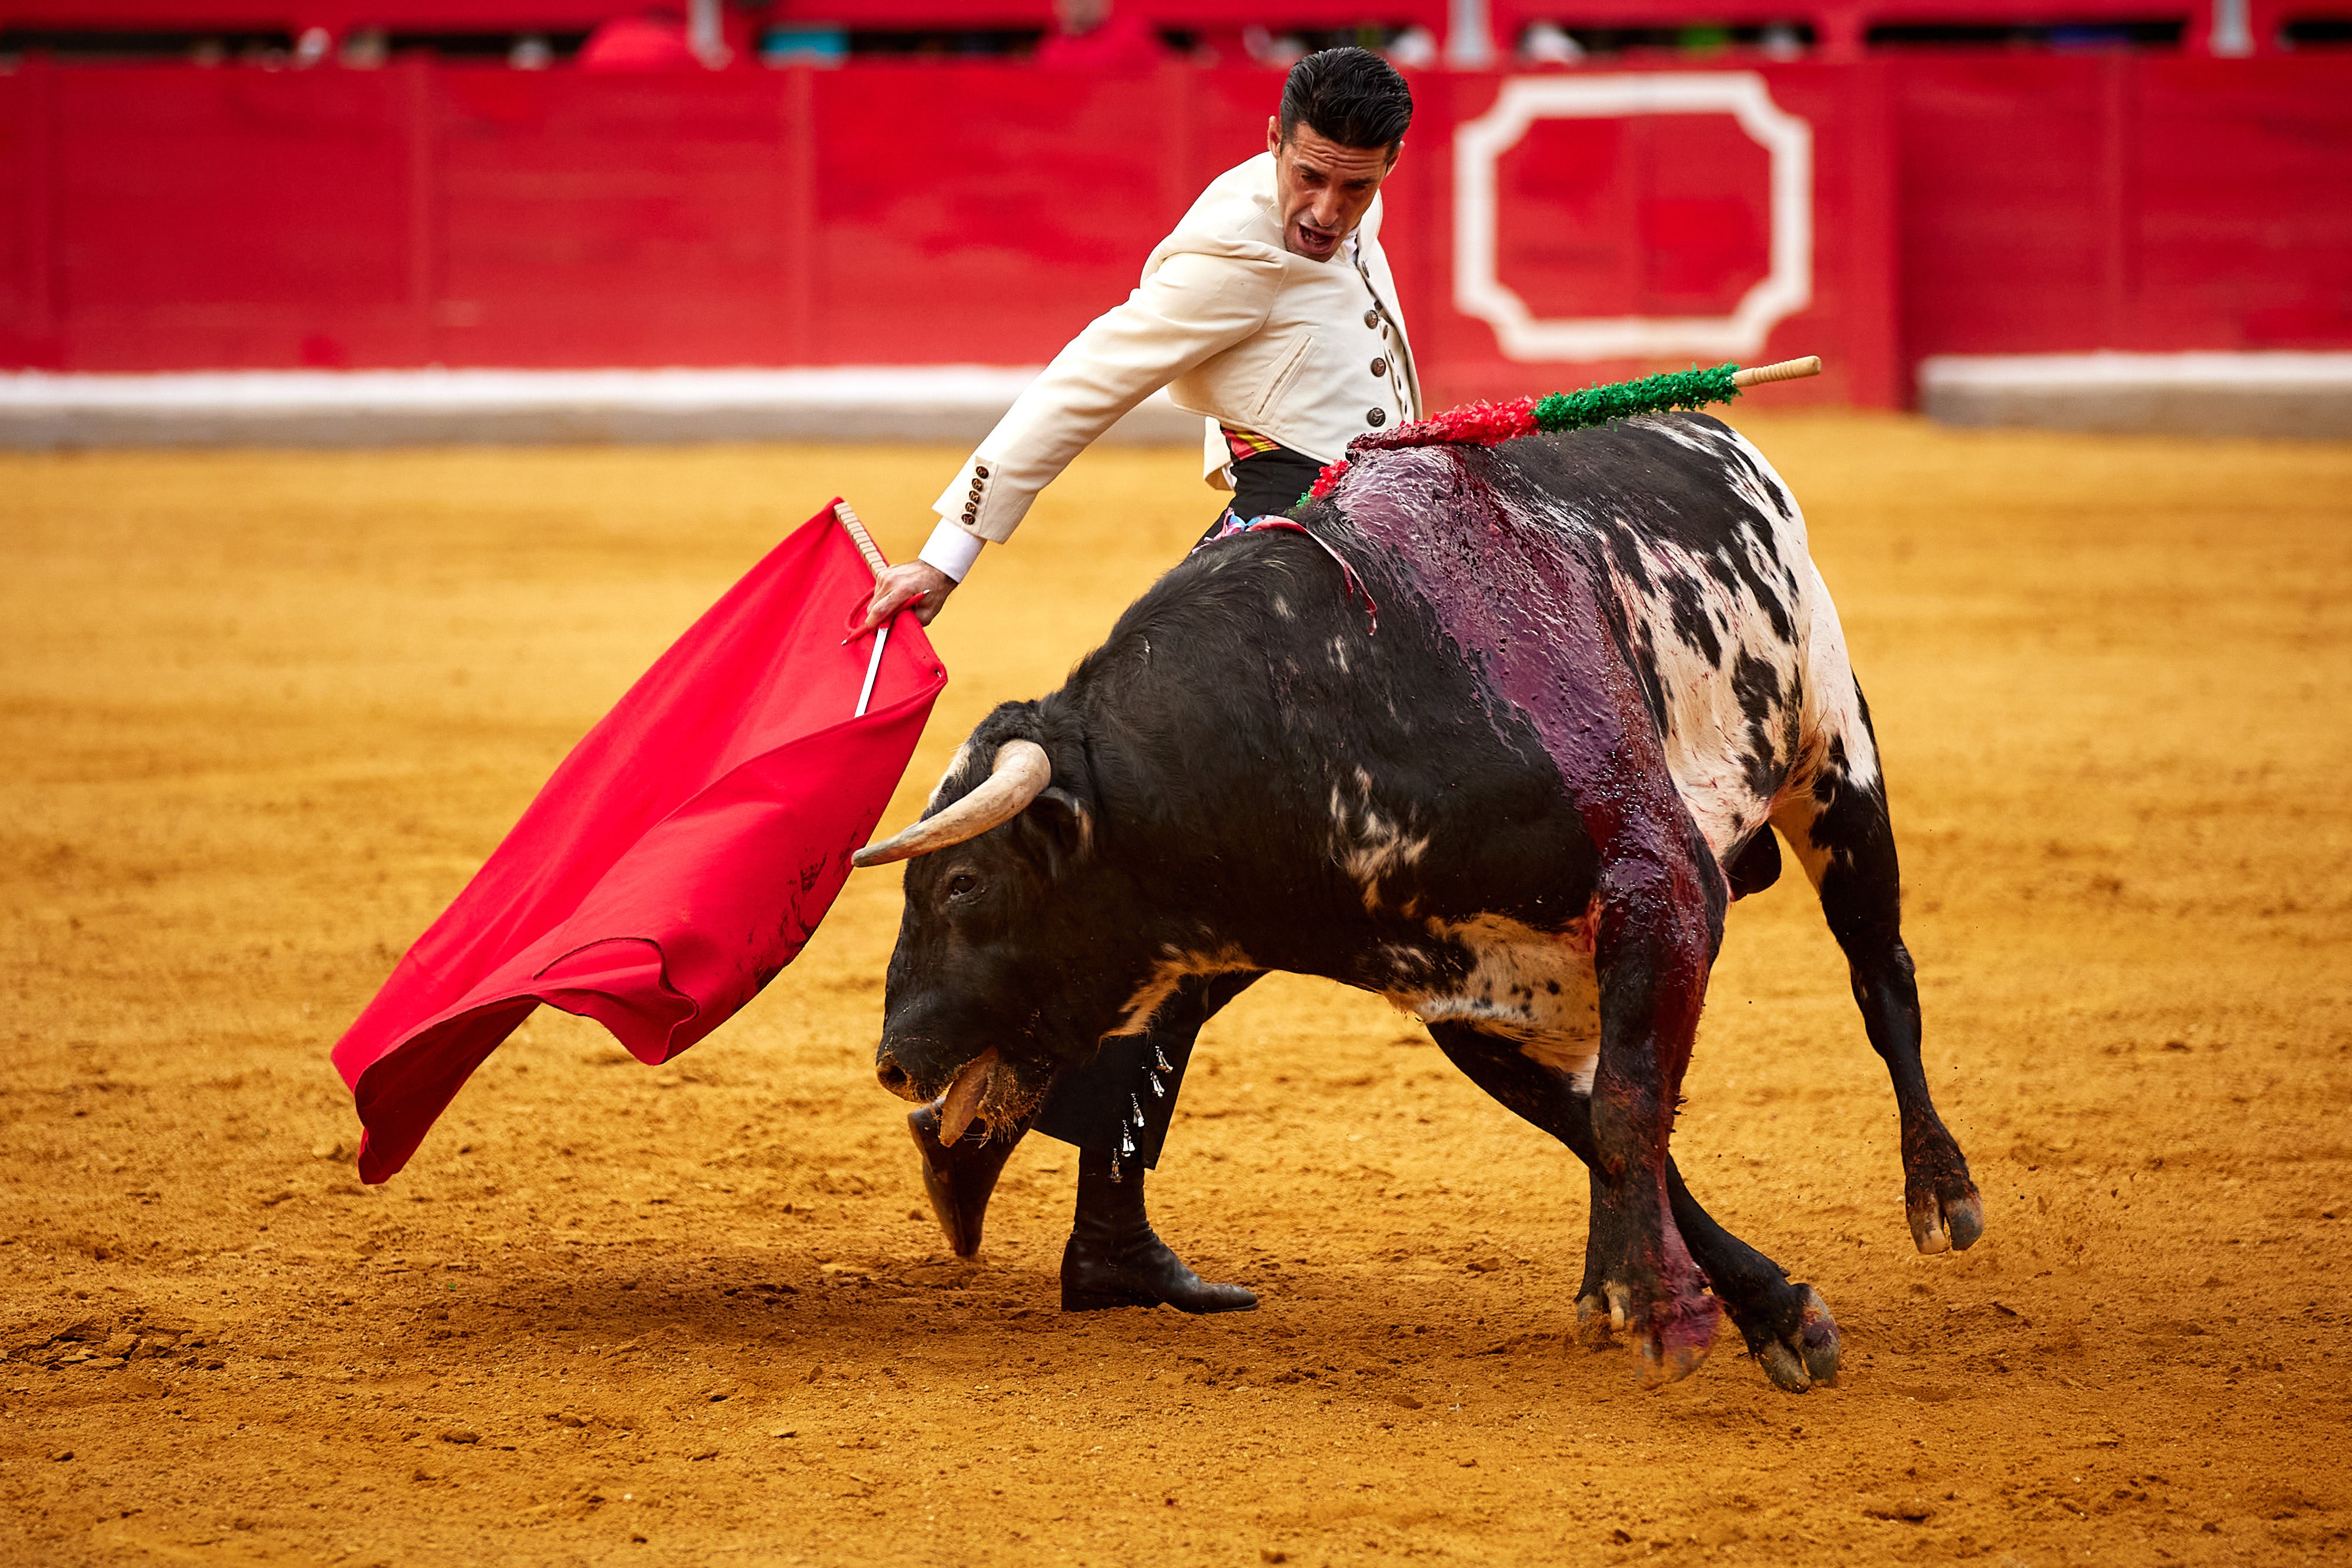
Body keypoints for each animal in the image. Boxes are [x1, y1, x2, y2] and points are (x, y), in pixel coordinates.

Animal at [856, 411, 1976, 1392]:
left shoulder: (1663, 883)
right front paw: (1761, 1311)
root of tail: (1714, 428)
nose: (894, 1060)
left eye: (963, 881)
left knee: (1881, 975)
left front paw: (1663, 1310)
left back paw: (1943, 1191)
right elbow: (1619, 1130)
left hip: (1835, 756)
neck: (1333, 707)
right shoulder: (1470, 998)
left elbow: (1627, 1111)